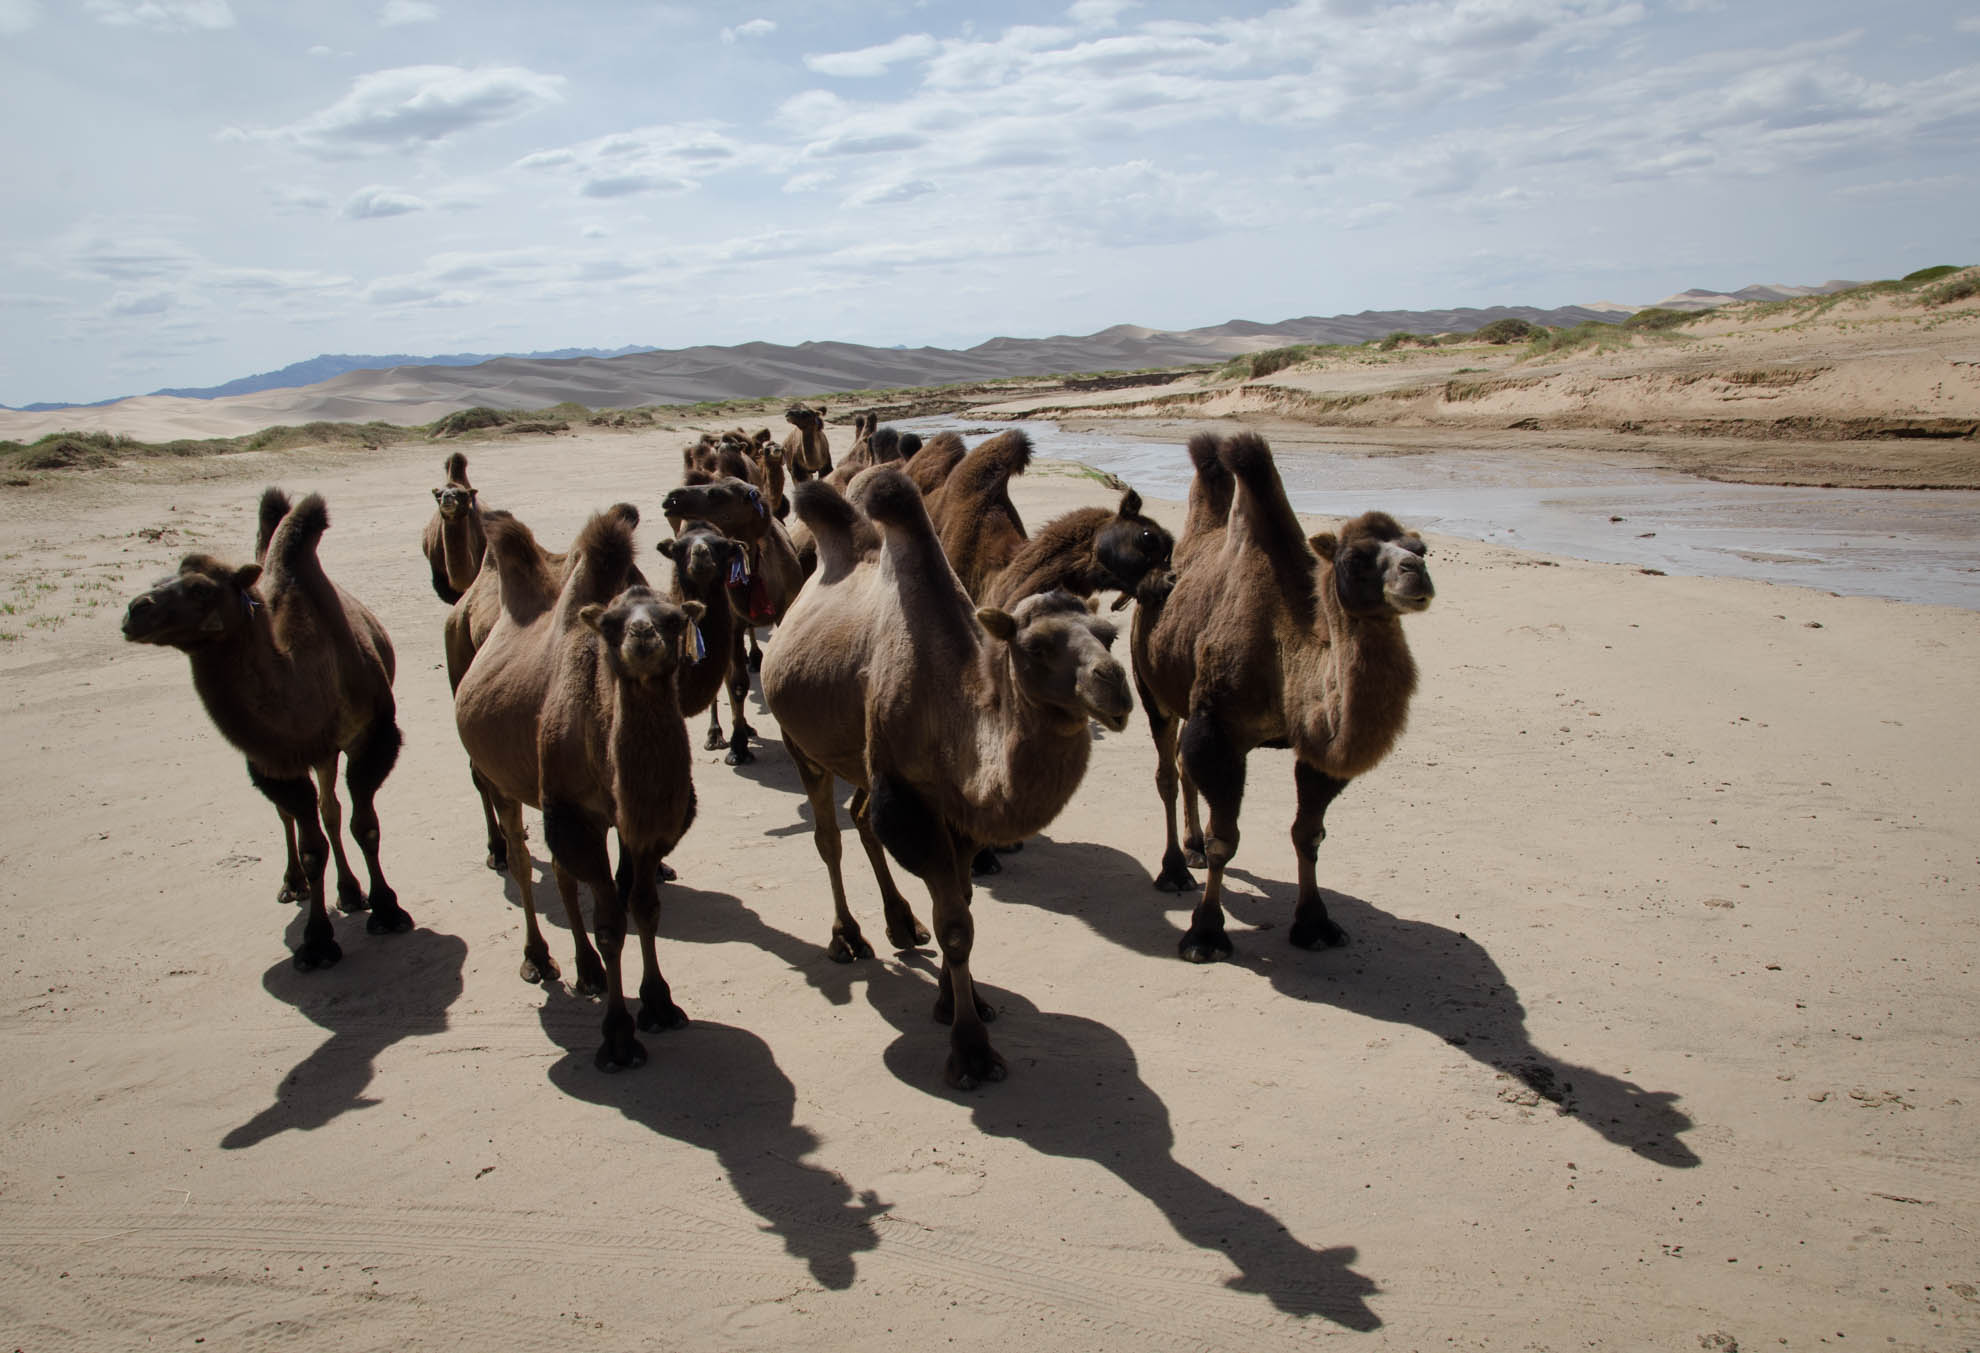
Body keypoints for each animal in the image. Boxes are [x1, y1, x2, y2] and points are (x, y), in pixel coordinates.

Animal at [123, 487, 409, 974]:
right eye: (162, 578)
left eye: (201, 588)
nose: (134, 610)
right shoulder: (275, 760)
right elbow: (312, 846)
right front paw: (317, 943)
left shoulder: (369, 736)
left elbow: (363, 824)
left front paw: (387, 909)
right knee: (292, 817)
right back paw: (295, 883)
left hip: (326, 752)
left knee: (330, 809)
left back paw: (351, 892)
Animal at [453, 507, 704, 1069]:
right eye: (611, 624)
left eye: (674, 619)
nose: (642, 636)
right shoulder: (574, 813)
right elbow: (610, 923)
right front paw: (618, 1038)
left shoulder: (645, 826)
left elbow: (645, 907)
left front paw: (660, 1005)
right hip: (505, 781)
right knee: (523, 861)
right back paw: (539, 959)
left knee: (564, 876)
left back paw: (585, 970)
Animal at [756, 465, 1132, 1093]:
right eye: (1034, 646)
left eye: (1108, 635)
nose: (1114, 686)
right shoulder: (910, 801)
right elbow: (956, 925)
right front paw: (972, 1052)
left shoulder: (960, 814)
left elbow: (965, 903)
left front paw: (961, 1001)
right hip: (800, 741)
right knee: (829, 837)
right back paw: (848, 937)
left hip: (860, 754)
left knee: (861, 817)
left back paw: (901, 926)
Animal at [1132, 433, 1441, 962]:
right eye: (1355, 559)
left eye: (1421, 549)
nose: (1415, 572)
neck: (1284, 652)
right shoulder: (1219, 730)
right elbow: (1226, 839)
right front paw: (1204, 934)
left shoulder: (1315, 750)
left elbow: (1308, 834)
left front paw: (1315, 924)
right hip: (1152, 688)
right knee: (1166, 772)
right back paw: (1173, 868)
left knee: (1182, 767)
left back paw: (1191, 848)